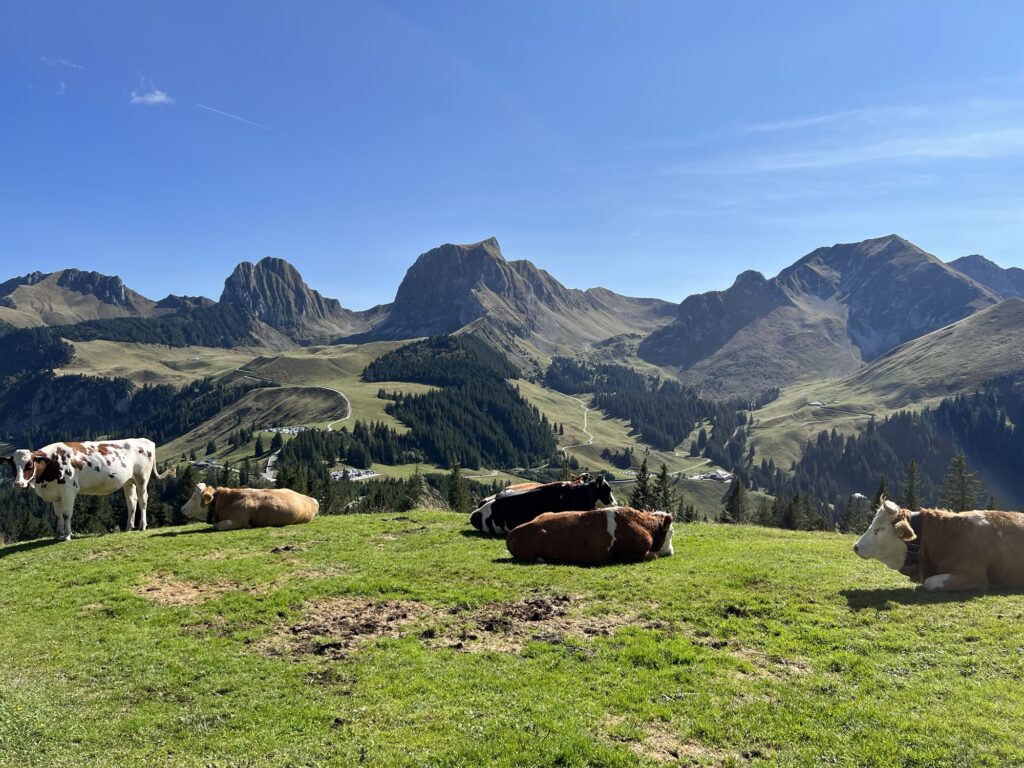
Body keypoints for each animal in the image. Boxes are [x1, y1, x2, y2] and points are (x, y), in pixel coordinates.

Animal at [1, 439, 175, 541]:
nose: (18, 484)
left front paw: (67, 536)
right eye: (12, 466)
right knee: (132, 503)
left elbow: (66, 514)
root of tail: (144, 440)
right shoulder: (56, 494)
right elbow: (58, 516)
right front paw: (58, 535)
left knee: (143, 501)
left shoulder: (69, 490)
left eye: (29, 465)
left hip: (142, 478)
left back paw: (142, 526)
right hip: (128, 481)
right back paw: (128, 527)